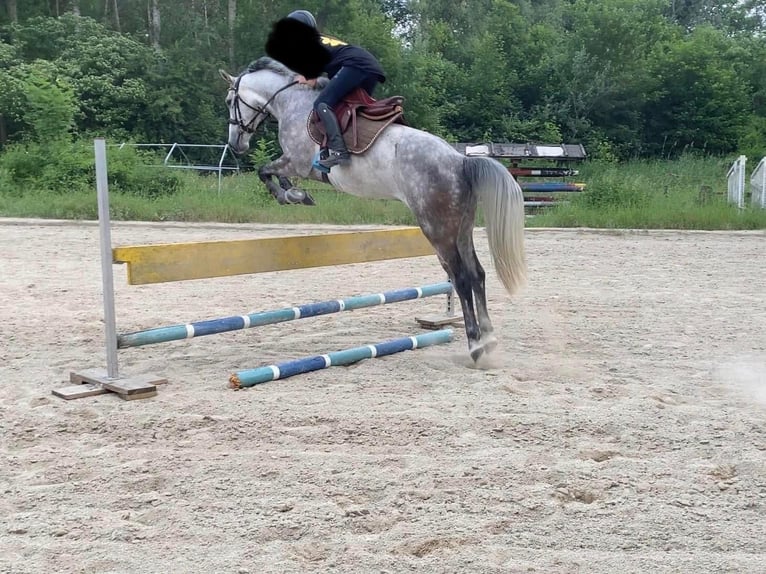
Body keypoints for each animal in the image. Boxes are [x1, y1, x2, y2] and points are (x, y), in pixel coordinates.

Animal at [219, 59, 524, 364]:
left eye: (229, 101)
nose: (235, 145)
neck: (290, 100)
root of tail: (460, 161)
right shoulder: (297, 167)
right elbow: (275, 175)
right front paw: (296, 195)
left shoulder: (297, 162)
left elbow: (264, 171)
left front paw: (290, 195)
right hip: (461, 227)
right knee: (477, 274)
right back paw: (489, 338)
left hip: (437, 229)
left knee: (460, 278)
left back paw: (475, 346)